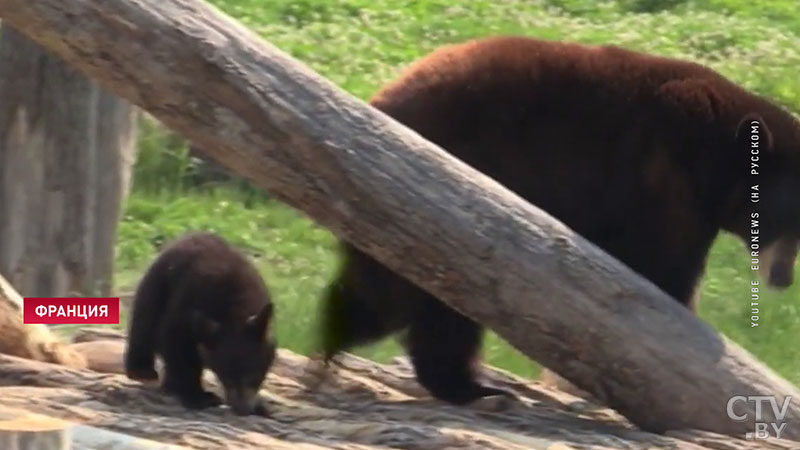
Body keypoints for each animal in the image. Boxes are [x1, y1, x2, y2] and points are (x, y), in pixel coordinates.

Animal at [316, 36, 800, 404]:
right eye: (787, 219)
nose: (783, 278)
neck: (714, 153)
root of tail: (380, 100)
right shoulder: (661, 182)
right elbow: (662, 271)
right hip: (437, 196)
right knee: (414, 297)